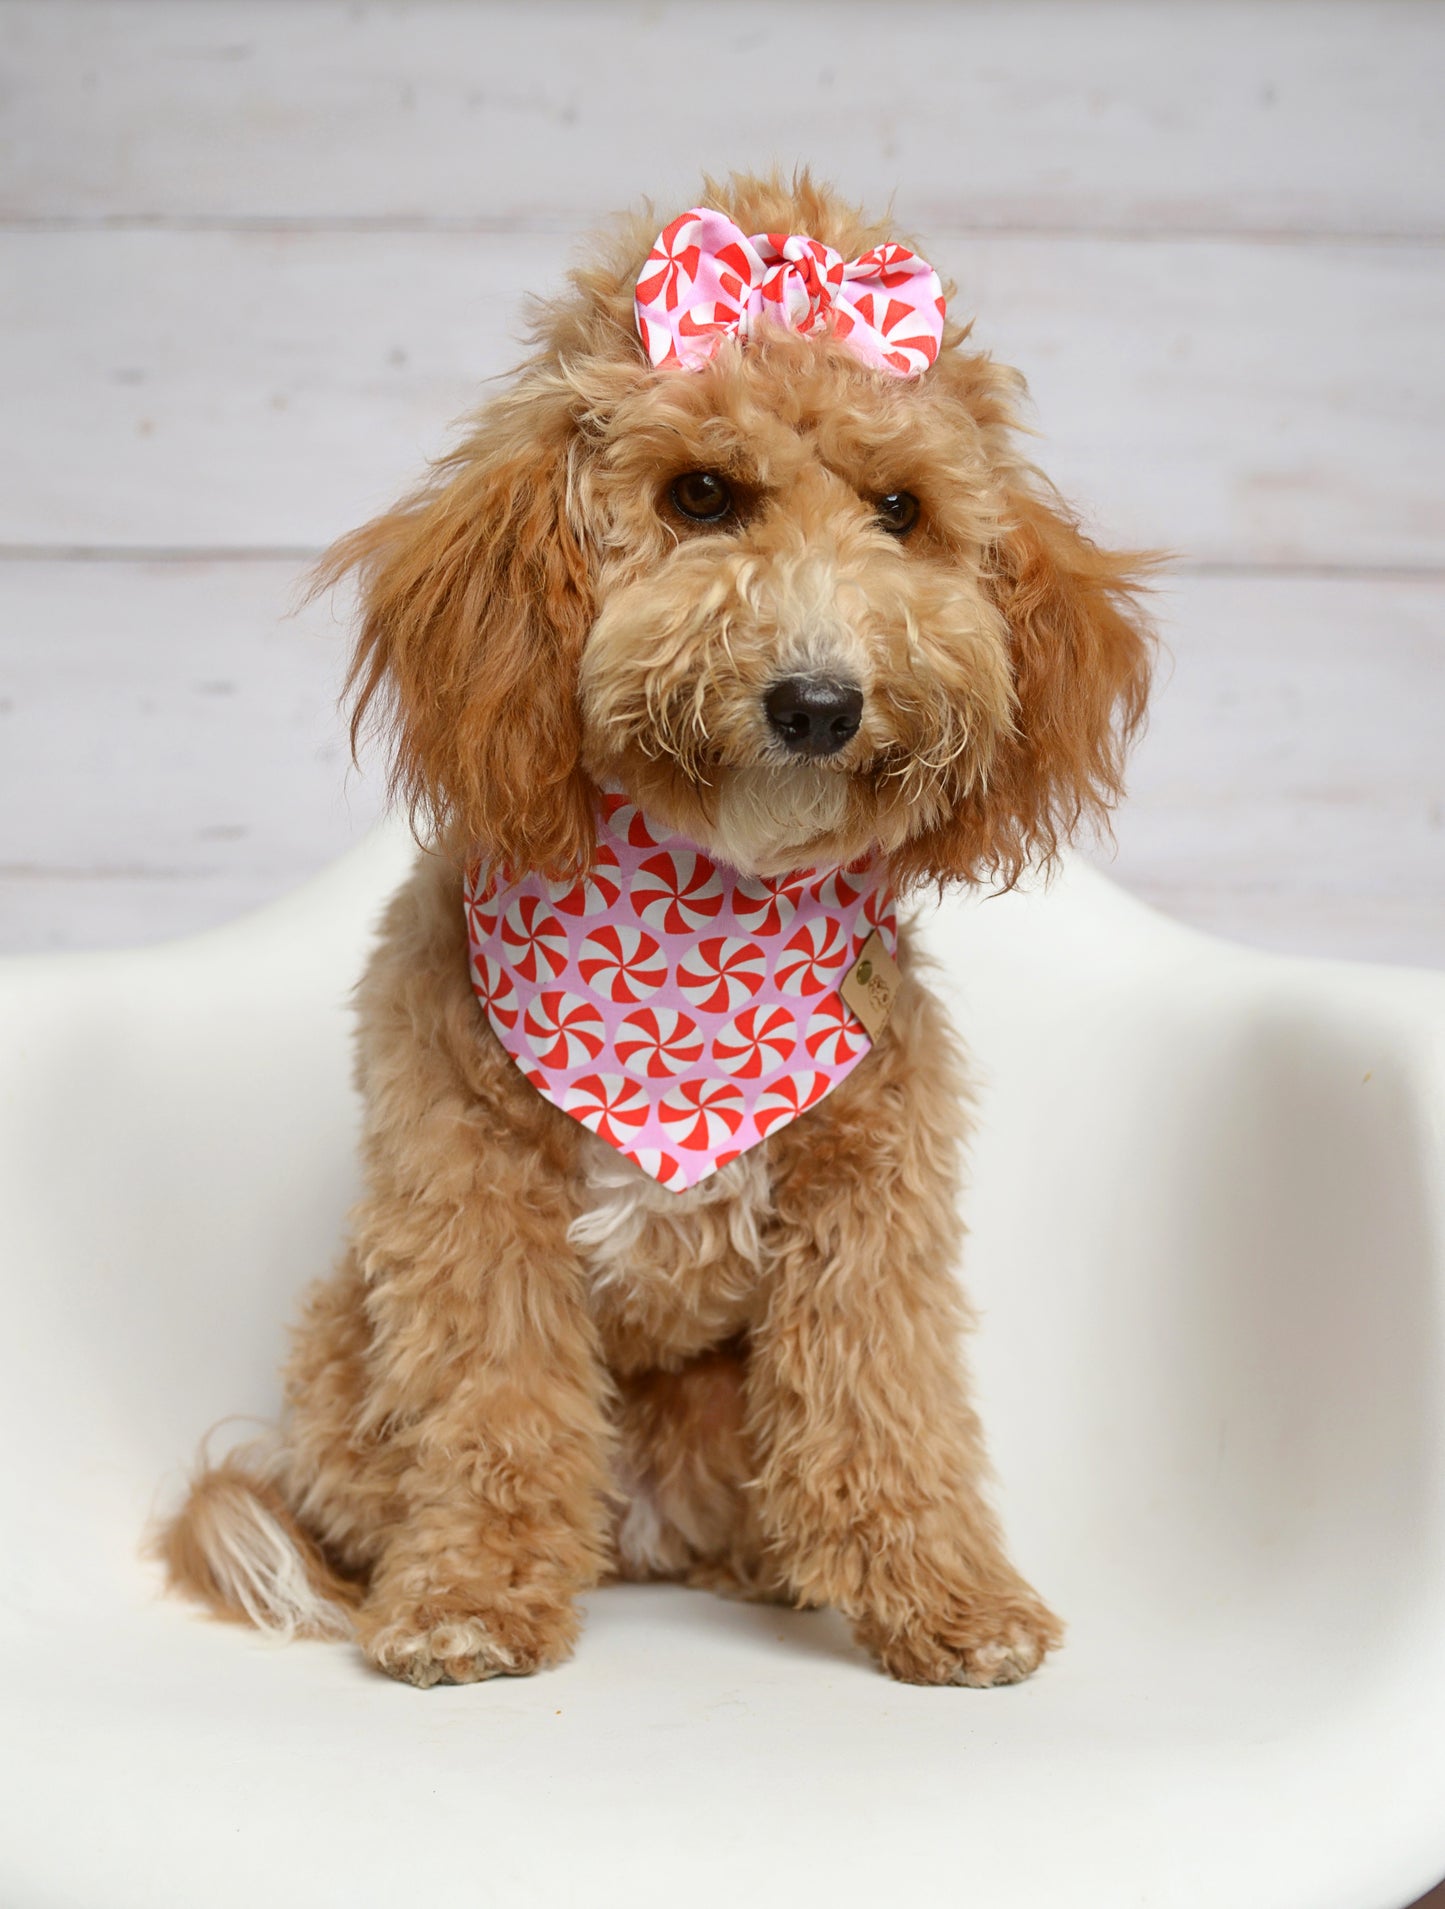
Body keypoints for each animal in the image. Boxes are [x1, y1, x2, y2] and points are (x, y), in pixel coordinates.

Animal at [160, 175, 1152, 1687]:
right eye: (700, 495)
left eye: (899, 510)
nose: (818, 701)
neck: (697, 926)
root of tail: (641, 1538)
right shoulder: (469, 1197)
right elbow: (492, 1408)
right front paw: (469, 1596)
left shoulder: (871, 1205)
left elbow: (888, 1403)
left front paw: (946, 1596)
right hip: (342, 1340)